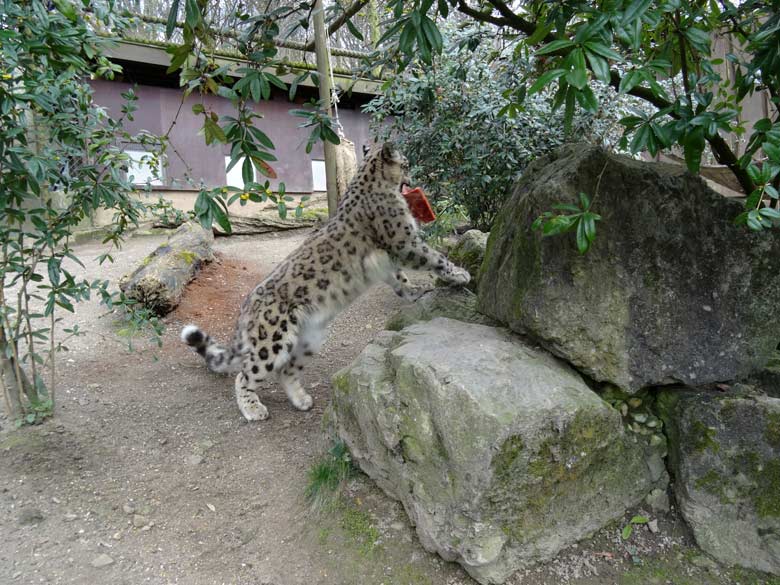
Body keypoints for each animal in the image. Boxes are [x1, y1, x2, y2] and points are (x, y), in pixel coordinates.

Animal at [183, 141, 472, 420]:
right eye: (406, 163)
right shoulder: (404, 242)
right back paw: (253, 409)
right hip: (271, 341)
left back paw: (302, 401)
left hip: (308, 340)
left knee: (286, 370)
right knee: (246, 374)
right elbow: (434, 258)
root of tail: (247, 307)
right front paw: (459, 274)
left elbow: (400, 278)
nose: (413, 177)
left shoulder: (388, 259)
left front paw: (414, 290)